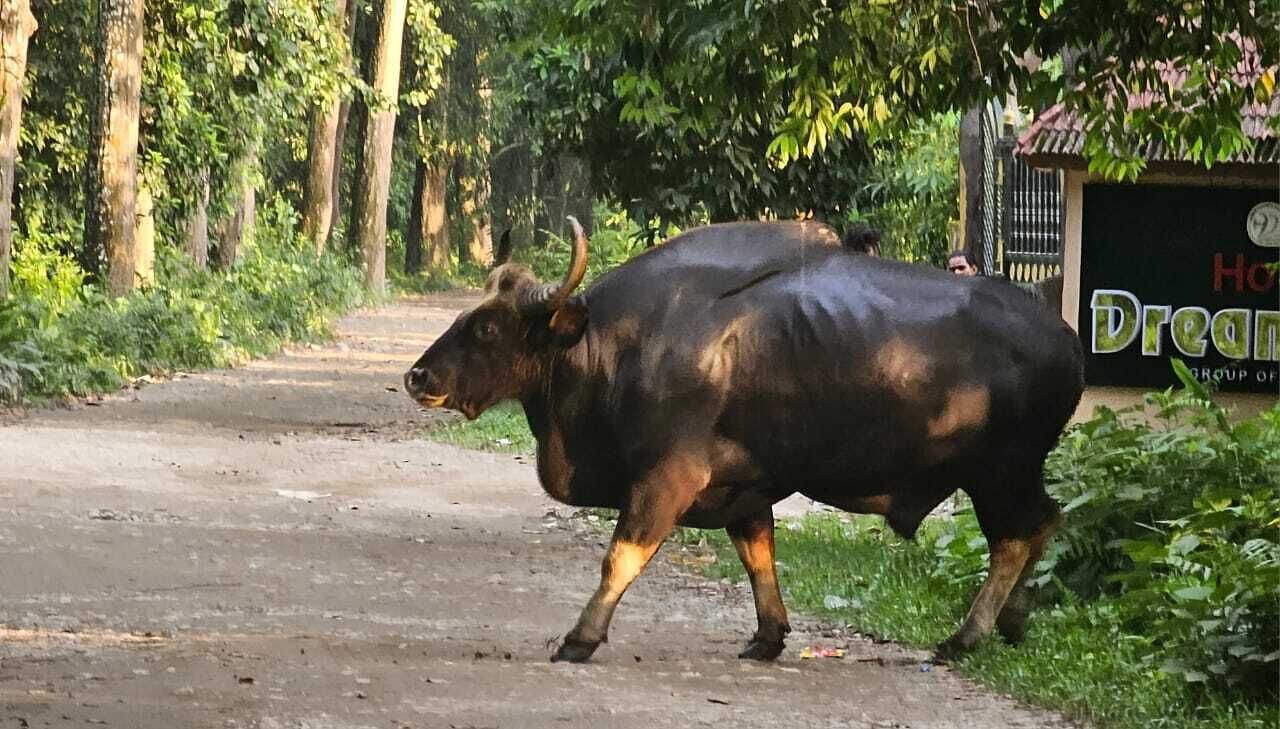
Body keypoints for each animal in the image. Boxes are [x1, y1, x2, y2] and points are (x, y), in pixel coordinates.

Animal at [404, 217, 1085, 664]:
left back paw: (965, 637)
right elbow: (758, 552)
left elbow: (620, 555)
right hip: (1014, 475)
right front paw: (768, 636)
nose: (418, 377)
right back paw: (1013, 622)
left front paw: (581, 637)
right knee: (1044, 523)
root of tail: (1067, 339)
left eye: (487, 328)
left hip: (1000, 473)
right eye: (467, 316)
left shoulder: (666, 477)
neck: (614, 345)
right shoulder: (743, 484)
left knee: (1016, 536)